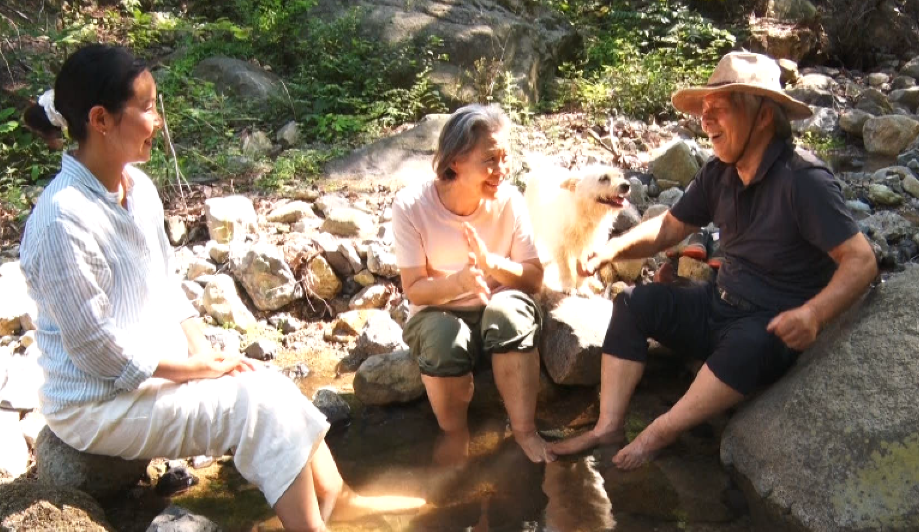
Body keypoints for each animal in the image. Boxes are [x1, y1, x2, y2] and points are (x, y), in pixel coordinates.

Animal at [524, 164, 632, 294]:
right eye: (603, 178)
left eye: (620, 175)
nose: (626, 185)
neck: (584, 213)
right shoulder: (561, 247)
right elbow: (565, 269)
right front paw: (569, 286)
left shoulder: (588, 249)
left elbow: (583, 270)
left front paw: (582, 288)